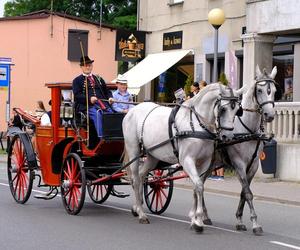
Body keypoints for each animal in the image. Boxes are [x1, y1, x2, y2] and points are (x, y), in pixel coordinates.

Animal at [122, 83, 246, 231]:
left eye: (238, 110)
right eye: (223, 109)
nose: (228, 137)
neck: (197, 124)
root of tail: (133, 110)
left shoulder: (204, 162)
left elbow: (197, 186)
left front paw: (195, 219)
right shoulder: (187, 160)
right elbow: (199, 185)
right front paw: (198, 219)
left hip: (152, 155)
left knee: (141, 176)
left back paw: (137, 206)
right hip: (134, 150)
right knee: (135, 179)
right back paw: (141, 214)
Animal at [200, 65, 278, 235]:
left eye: (274, 90)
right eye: (260, 90)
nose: (269, 115)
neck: (248, 129)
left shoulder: (253, 165)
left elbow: (244, 192)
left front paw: (240, 220)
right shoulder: (239, 164)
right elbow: (248, 193)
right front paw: (255, 224)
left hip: (210, 164)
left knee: (199, 182)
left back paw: (204, 216)